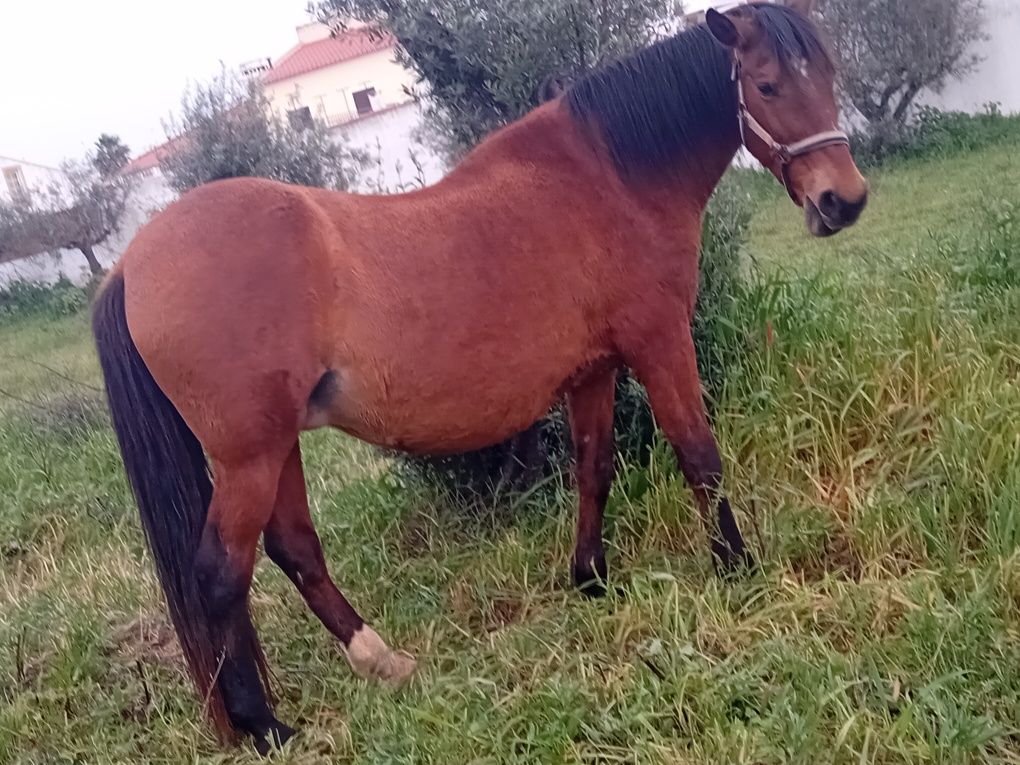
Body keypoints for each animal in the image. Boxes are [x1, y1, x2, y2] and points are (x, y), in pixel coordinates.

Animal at [91, 0, 864, 754]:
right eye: (767, 85)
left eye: (828, 73)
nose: (844, 200)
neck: (607, 178)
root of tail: (132, 259)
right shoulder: (660, 341)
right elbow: (699, 456)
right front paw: (736, 567)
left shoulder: (592, 372)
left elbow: (593, 468)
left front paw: (591, 579)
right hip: (249, 452)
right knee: (222, 575)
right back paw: (264, 725)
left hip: (277, 444)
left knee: (294, 548)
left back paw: (382, 661)